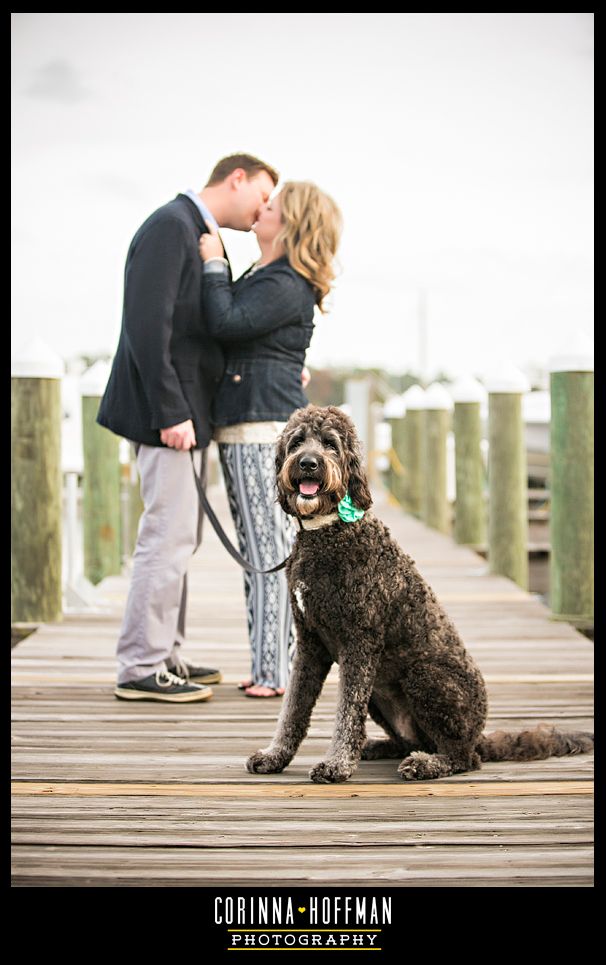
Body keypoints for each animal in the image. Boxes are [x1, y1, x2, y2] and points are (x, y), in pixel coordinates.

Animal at [246, 402, 592, 780]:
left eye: (330, 444)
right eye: (297, 442)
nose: (308, 463)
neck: (327, 533)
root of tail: (478, 735)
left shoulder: (359, 642)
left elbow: (346, 712)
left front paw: (336, 764)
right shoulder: (310, 643)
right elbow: (293, 706)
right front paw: (276, 754)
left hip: (422, 676)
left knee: (462, 757)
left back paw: (426, 763)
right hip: (380, 695)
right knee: (409, 740)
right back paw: (378, 747)